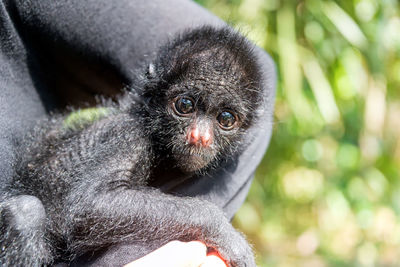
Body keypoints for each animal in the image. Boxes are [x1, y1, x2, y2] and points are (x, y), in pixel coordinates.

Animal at [0, 25, 264, 267]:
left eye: (226, 119)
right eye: (185, 105)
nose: (200, 137)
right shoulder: (128, 135)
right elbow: (90, 204)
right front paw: (223, 230)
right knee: (26, 212)